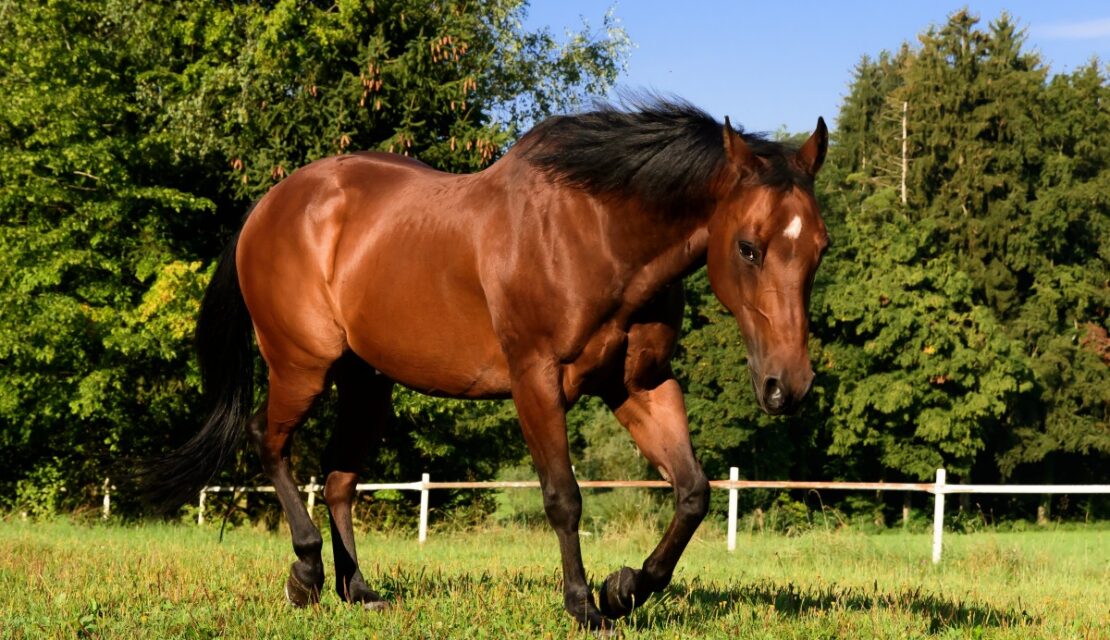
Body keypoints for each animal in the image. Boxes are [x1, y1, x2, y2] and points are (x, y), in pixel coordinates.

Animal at [144, 97, 829, 631]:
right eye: (748, 247)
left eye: (820, 248)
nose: (787, 387)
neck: (598, 234)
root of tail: (268, 207)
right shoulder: (536, 381)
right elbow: (564, 497)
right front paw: (585, 606)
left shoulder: (642, 386)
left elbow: (693, 493)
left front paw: (625, 589)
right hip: (301, 365)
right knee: (270, 442)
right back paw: (306, 572)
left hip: (367, 382)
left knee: (339, 478)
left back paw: (359, 591)